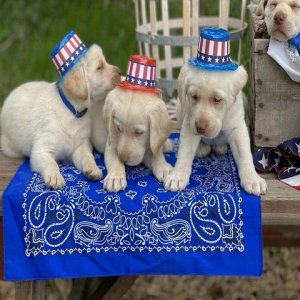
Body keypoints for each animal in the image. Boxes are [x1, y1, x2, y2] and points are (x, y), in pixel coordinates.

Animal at [1, 31, 120, 189]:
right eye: (100, 67)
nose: (120, 71)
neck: (73, 112)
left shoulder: (81, 146)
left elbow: (88, 157)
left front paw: (93, 169)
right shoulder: (41, 151)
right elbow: (51, 164)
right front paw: (55, 177)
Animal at [103, 54, 173, 192]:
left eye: (139, 132)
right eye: (118, 128)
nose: (123, 159)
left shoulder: (150, 145)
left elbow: (156, 154)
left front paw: (164, 167)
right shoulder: (111, 142)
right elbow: (114, 160)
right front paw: (115, 177)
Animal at [164, 28, 268, 196]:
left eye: (218, 99)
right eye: (194, 96)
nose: (200, 128)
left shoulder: (237, 127)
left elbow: (245, 154)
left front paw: (253, 179)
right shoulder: (189, 124)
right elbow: (184, 154)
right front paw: (177, 176)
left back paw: (221, 146)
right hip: (181, 108)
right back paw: (202, 147)